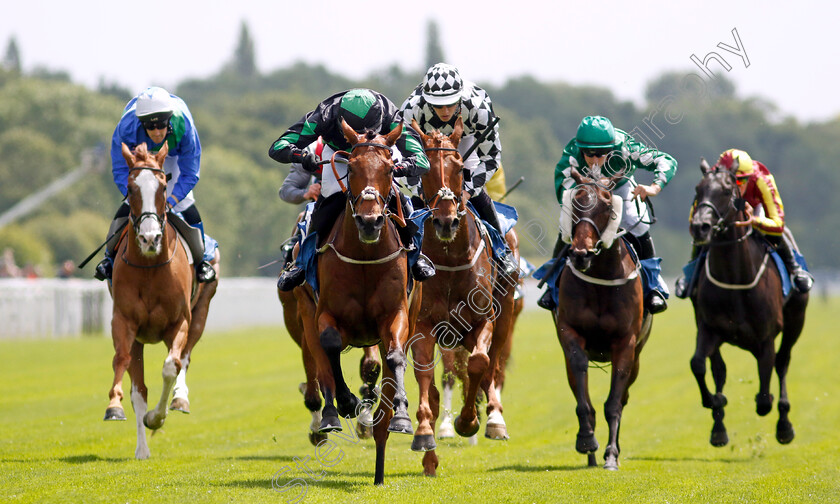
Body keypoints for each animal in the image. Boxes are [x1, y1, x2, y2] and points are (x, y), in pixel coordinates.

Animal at [104, 142, 220, 460]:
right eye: (130, 187)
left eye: (164, 187)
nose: (149, 238)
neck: (150, 268)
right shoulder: (125, 322)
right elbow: (125, 367)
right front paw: (114, 406)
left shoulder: (178, 322)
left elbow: (172, 366)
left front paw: (157, 417)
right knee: (140, 387)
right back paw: (142, 447)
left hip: (201, 311)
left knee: (185, 358)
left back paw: (179, 400)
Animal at [298, 118, 424, 484]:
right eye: (351, 167)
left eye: (390, 168)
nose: (370, 221)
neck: (366, 256)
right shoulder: (324, 313)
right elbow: (329, 346)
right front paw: (346, 403)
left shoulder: (397, 315)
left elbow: (395, 358)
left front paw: (400, 416)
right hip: (304, 312)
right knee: (320, 362)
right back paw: (331, 414)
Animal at [408, 118, 520, 476]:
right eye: (425, 168)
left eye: (459, 167)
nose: (445, 220)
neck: (450, 259)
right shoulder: (424, 326)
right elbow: (426, 379)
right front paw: (426, 438)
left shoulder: (483, 319)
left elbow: (479, 363)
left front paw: (469, 421)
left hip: (505, 313)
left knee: (492, 365)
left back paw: (494, 418)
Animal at [552, 167, 648, 470]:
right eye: (576, 201)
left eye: (606, 205)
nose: (580, 254)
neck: (600, 278)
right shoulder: (569, 332)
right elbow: (582, 387)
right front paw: (587, 440)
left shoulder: (626, 343)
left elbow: (614, 403)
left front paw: (612, 455)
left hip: (637, 358)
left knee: (625, 395)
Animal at [688, 159, 808, 446]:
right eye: (698, 189)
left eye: (725, 190)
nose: (700, 227)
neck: (734, 277)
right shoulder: (708, 328)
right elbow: (699, 364)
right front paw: (715, 401)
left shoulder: (766, 336)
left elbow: (764, 395)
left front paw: (772, 409)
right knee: (718, 368)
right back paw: (718, 427)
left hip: (796, 321)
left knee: (782, 362)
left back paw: (784, 424)